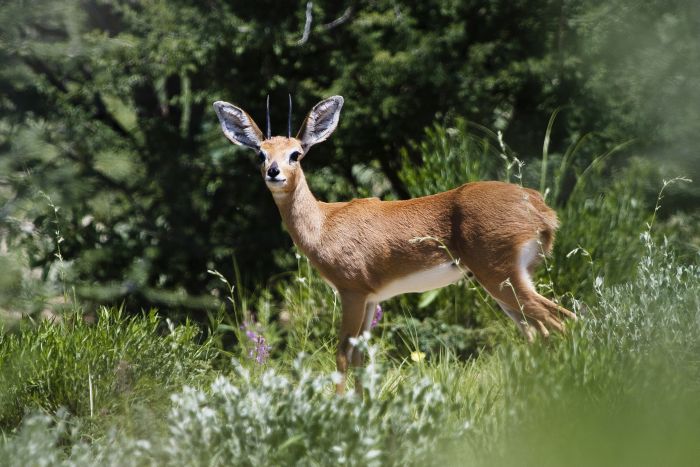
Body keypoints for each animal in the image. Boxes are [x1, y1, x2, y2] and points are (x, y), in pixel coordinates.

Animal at [216, 95, 576, 394]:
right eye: (261, 153)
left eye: (296, 153)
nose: (274, 172)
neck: (324, 222)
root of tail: (540, 208)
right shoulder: (372, 299)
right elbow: (360, 358)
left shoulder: (351, 292)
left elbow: (342, 354)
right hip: (504, 285)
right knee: (539, 331)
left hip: (501, 278)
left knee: (562, 321)